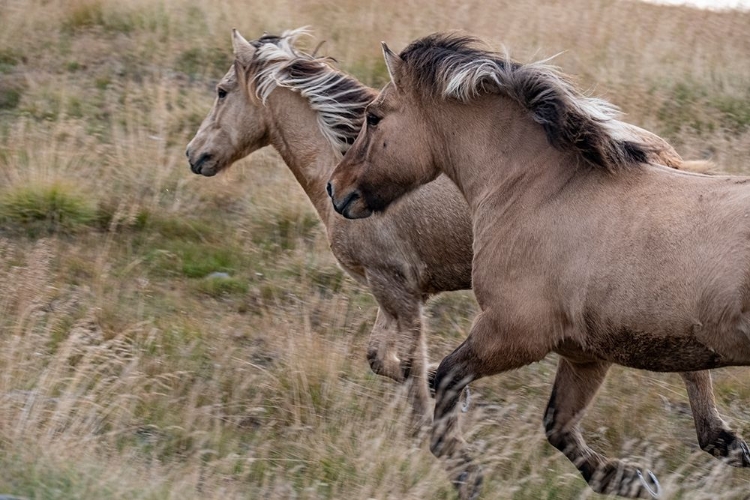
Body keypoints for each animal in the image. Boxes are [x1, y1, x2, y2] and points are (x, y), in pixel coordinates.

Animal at [330, 33, 750, 498]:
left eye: (373, 117)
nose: (336, 188)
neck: (536, 189)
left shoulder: (513, 333)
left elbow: (447, 380)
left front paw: (465, 473)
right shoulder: (586, 353)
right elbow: (558, 426)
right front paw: (631, 479)